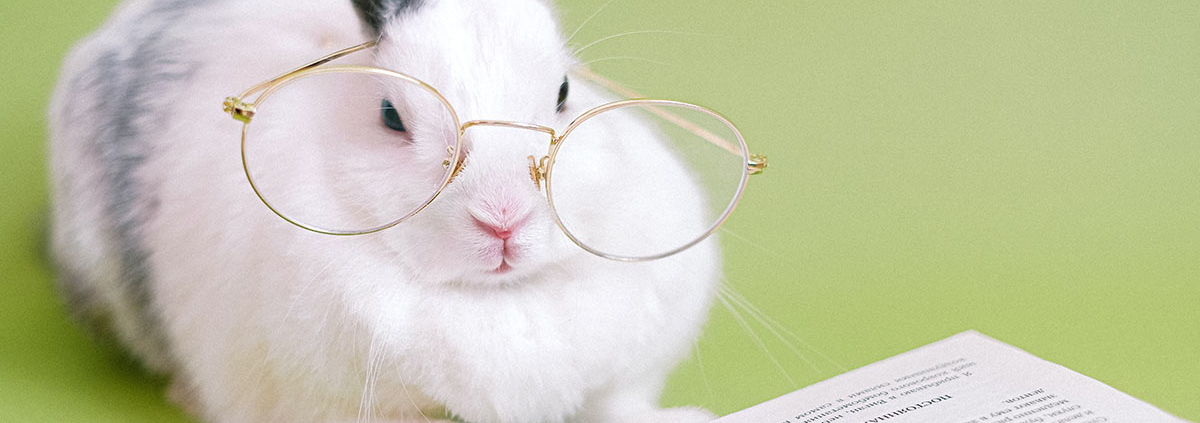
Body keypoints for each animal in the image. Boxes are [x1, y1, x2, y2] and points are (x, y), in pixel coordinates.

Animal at [48, 0, 723, 422]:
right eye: (390, 116)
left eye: (563, 93)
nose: (503, 219)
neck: (494, 301)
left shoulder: (620, 379)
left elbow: (616, 407)